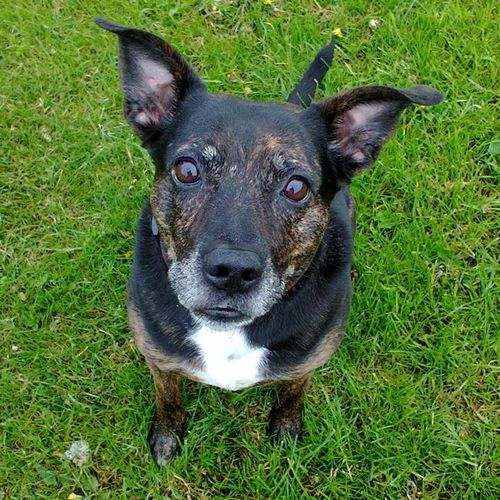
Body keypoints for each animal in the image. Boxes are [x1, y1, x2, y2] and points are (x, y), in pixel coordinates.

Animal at [95, 18, 443, 466]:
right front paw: (168, 435)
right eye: (187, 170)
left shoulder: (306, 364)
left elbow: (293, 391)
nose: (232, 271)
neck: (226, 334)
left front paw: (286, 428)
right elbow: (167, 395)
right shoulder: (158, 357)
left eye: (296, 187)